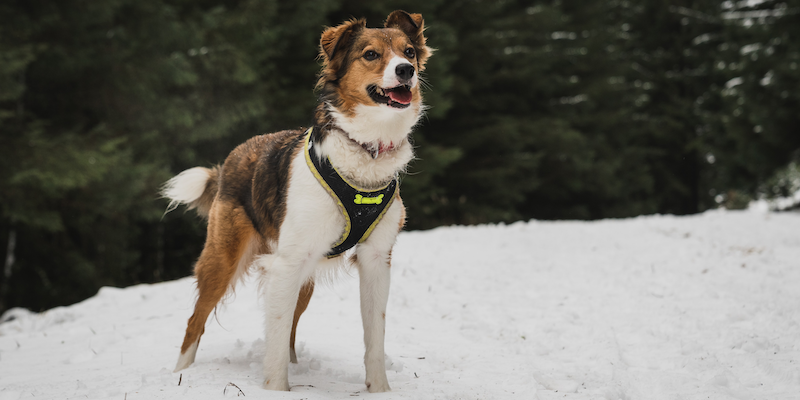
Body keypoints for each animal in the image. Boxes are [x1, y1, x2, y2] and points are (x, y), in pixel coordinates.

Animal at [162, 10, 432, 394]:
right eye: (371, 54)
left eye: (408, 51)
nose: (407, 71)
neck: (365, 150)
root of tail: (232, 157)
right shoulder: (287, 264)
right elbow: (273, 340)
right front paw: (276, 389)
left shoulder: (376, 260)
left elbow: (374, 335)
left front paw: (379, 390)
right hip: (225, 260)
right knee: (195, 321)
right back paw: (181, 374)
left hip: (304, 274)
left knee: (288, 327)